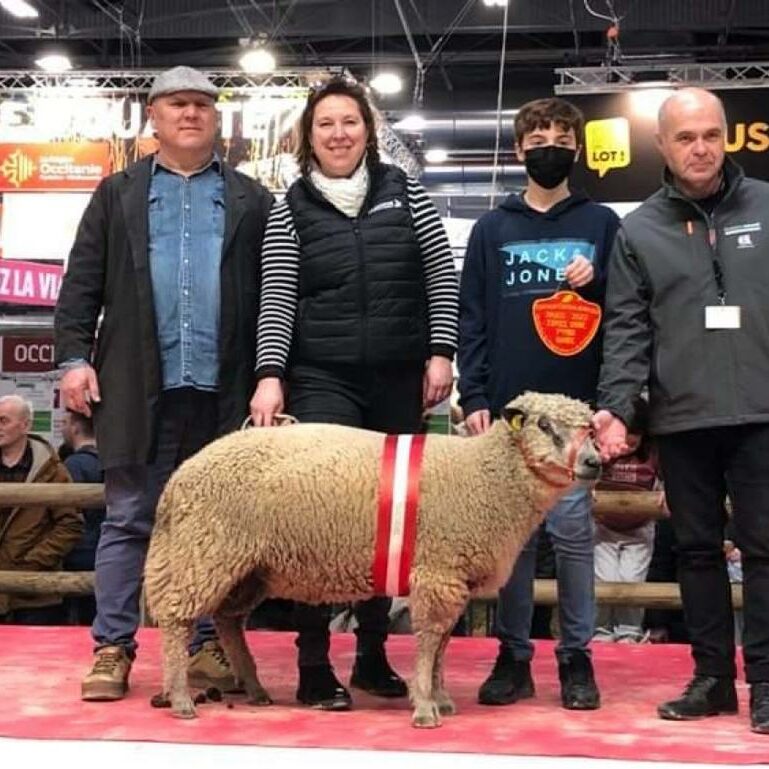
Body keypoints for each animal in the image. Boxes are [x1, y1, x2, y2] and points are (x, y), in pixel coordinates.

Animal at [144, 390, 600, 728]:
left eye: (591, 428)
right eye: (544, 425)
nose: (595, 461)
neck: (486, 476)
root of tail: (180, 475)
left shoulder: (454, 577)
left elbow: (443, 644)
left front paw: (440, 697)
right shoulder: (437, 572)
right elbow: (430, 640)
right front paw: (425, 707)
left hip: (251, 568)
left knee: (228, 619)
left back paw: (255, 690)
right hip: (204, 551)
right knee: (177, 620)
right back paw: (182, 699)